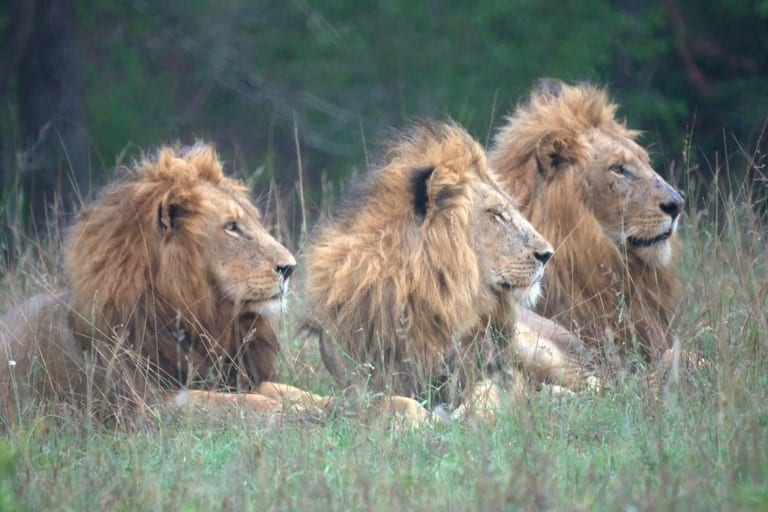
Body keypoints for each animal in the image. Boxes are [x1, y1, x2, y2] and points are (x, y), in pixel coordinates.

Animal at [0, 143, 332, 426]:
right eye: (232, 227)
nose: (290, 268)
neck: (204, 317)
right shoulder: (143, 405)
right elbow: (231, 402)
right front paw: (289, 411)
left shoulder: (231, 373)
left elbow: (279, 387)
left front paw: (328, 401)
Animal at [303, 120, 596, 419]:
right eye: (496, 213)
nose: (547, 254)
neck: (431, 297)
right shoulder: (357, 388)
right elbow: (390, 402)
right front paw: (424, 417)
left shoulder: (493, 370)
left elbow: (489, 394)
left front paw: (469, 415)